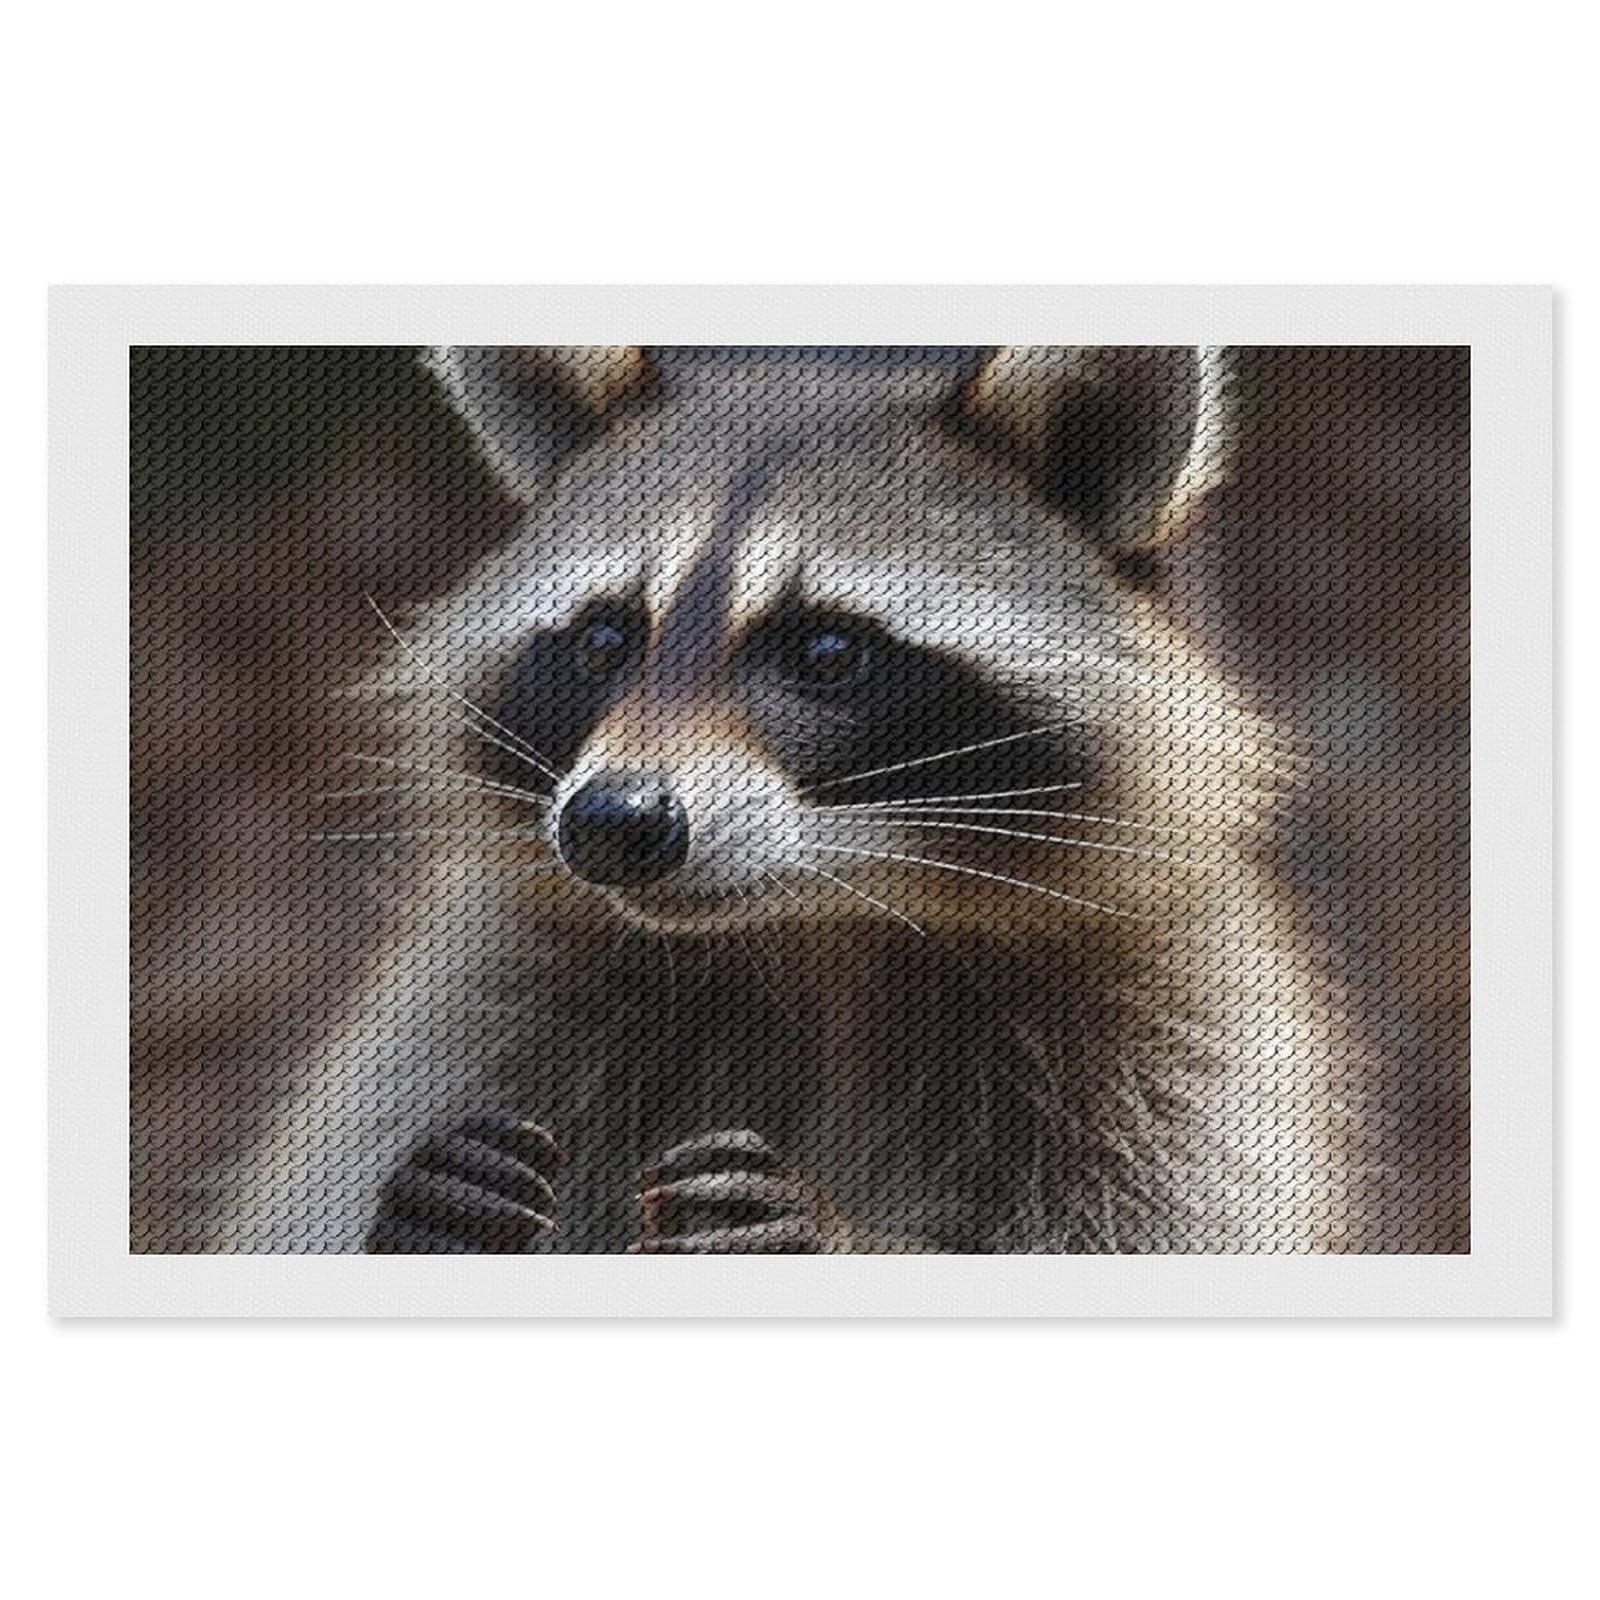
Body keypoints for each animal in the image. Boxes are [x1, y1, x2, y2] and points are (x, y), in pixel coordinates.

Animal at [219, 344, 1413, 1254]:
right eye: (605, 639)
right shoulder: (483, 999)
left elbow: (1143, 1225)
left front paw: (844, 1239)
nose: (613, 824)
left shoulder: (1183, 1040)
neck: (823, 926)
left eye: (827, 650)